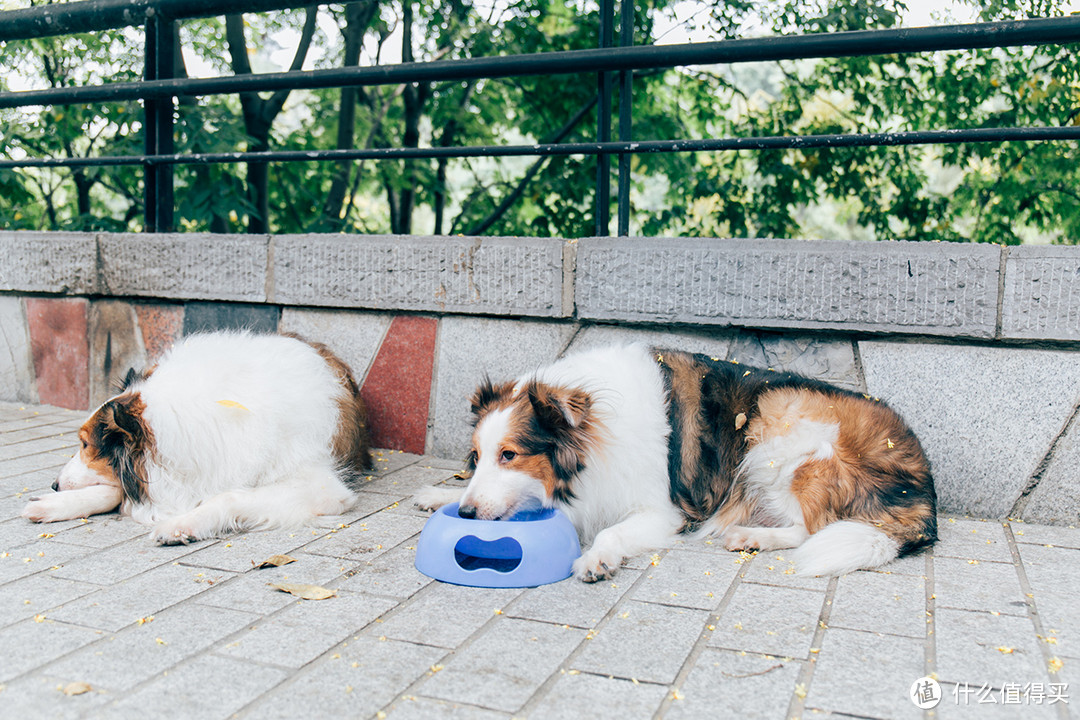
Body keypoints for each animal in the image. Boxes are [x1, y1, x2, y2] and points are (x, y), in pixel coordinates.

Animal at [22, 330, 371, 544]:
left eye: (85, 445)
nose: (54, 484)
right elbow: (119, 491)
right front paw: (53, 503)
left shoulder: (322, 488)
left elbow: (229, 496)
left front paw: (182, 525)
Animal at [412, 343, 937, 578]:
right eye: (476, 456)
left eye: (510, 455)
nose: (466, 515)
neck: (595, 434)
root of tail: (924, 481)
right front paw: (437, 493)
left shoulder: (663, 512)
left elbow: (611, 531)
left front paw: (597, 557)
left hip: (780, 426)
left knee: (812, 527)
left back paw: (750, 534)